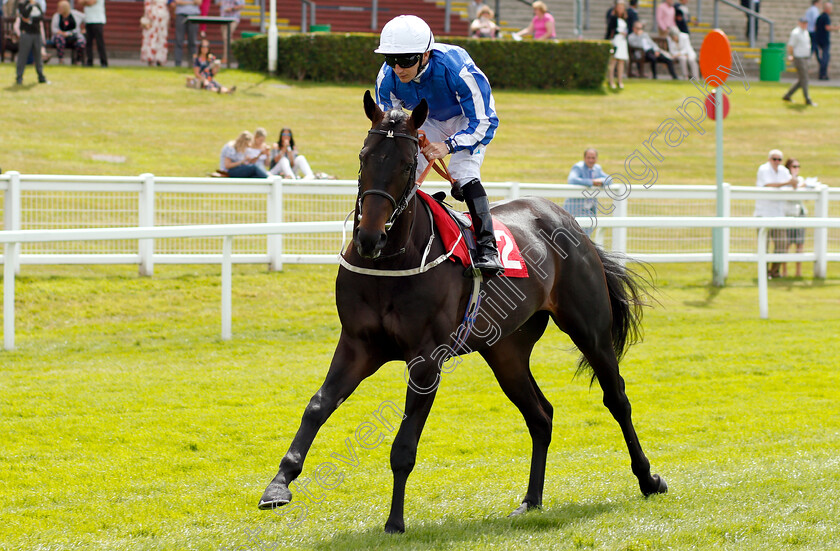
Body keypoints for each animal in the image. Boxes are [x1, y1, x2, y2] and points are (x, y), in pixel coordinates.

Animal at [260, 90, 668, 536]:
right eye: (364, 156)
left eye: (407, 164)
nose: (369, 238)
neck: (393, 262)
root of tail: (568, 221)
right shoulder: (357, 346)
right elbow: (317, 405)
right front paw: (278, 485)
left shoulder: (426, 359)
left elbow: (404, 444)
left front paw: (395, 521)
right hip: (505, 351)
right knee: (540, 415)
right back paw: (531, 500)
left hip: (589, 329)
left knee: (617, 399)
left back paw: (648, 478)